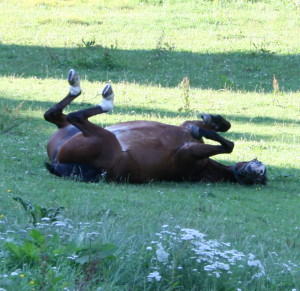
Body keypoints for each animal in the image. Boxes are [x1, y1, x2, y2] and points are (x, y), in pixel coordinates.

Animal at [44, 69, 268, 186]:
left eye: (261, 176)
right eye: (260, 168)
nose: (257, 170)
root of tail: (58, 162)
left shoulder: (191, 152)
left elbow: (228, 145)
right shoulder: (186, 126)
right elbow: (221, 128)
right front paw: (213, 120)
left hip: (101, 138)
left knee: (75, 116)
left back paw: (103, 98)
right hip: (69, 130)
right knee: (53, 115)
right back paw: (76, 85)